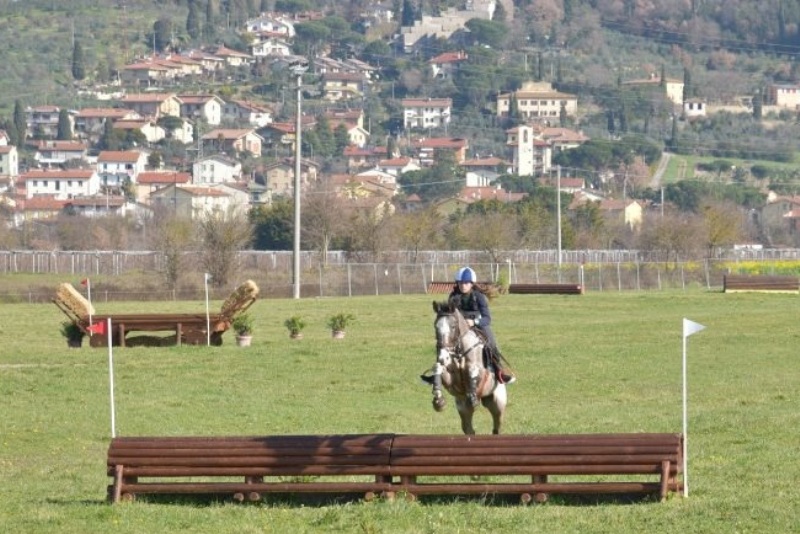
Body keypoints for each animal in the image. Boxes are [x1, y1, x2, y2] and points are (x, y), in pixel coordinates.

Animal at [432, 302, 506, 436]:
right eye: (436, 326)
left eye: (453, 326)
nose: (442, 356)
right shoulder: (450, 379)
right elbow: (438, 369)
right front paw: (438, 402)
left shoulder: (481, 371)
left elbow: (473, 371)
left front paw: (473, 398)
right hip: (463, 409)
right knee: (469, 429)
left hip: (498, 402)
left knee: (497, 426)